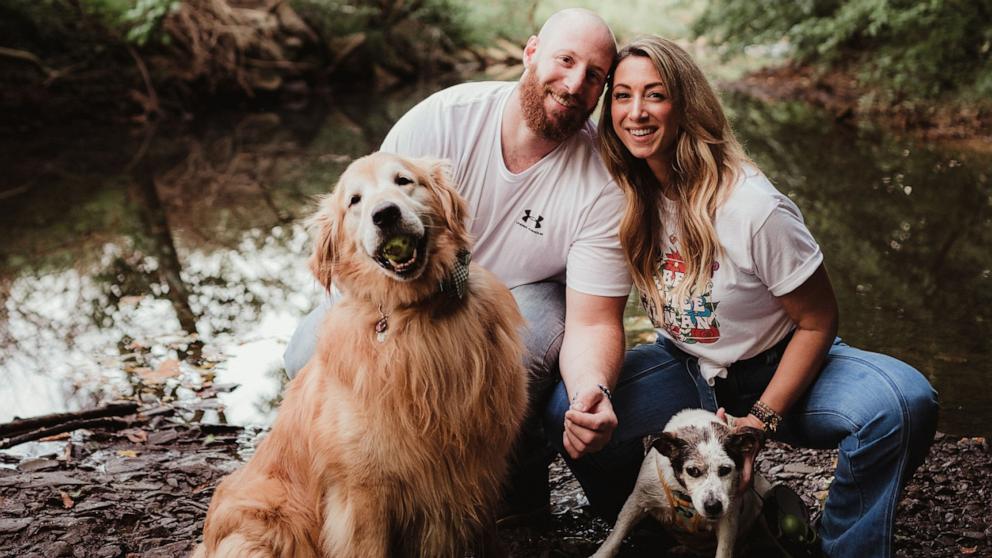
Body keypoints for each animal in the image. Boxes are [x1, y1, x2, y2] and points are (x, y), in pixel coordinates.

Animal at [592, 410, 764, 556]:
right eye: (692, 471)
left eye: (725, 469)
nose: (713, 506)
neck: (684, 495)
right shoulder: (637, 501)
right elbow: (614, 538)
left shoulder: (729, 518)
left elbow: (724, 550)